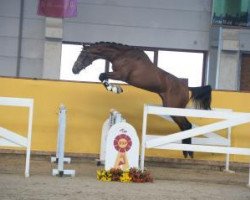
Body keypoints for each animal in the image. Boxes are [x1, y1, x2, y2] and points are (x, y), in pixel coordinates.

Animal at [72, 41, 211, 158]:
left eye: (83, 55)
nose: (74, 69)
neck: (120, 55)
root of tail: (187, 87)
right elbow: (102, 76)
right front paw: (115, 88)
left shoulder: (121, 75)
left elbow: (102, 75)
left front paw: (115, 89)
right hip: (171, 108)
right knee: (184, 126)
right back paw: (186, 152)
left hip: (173, 108)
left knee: (187, 125)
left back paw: (189, 152)